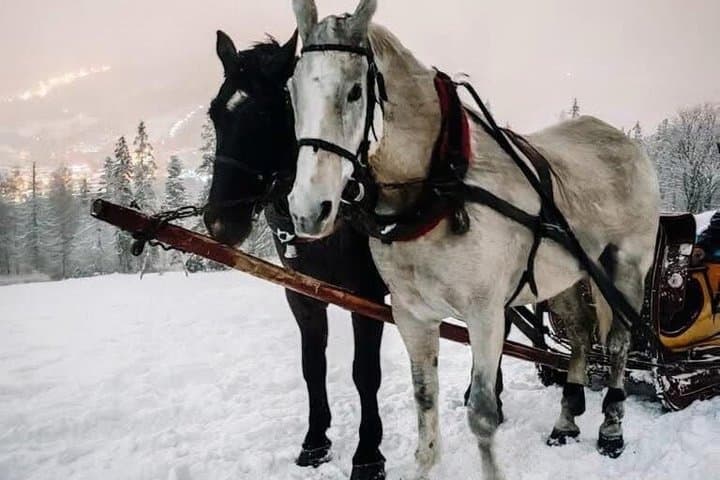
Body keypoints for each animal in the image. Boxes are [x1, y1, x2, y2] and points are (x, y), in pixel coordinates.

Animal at [202, 30, 389, 480]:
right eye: (215, 113)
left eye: (267, 113)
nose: (220, 222)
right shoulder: (302, 296)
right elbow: (312, 366)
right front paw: (315, 440)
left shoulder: (368, 296)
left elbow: (365, 373)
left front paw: (368, 453)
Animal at [286, 1, 661, 478]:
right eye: (291, 91)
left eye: (354, 92)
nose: (307, 209)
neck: (437, 186)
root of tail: (623, 142)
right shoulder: (411, 314)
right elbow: (425, 404)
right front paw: (424, 465)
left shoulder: (485, 314)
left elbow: (482, 413)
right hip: (567, 276)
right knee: (579, 337)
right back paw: (566, 420)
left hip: (625, 267)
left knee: (617, 343)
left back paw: (611, 427)